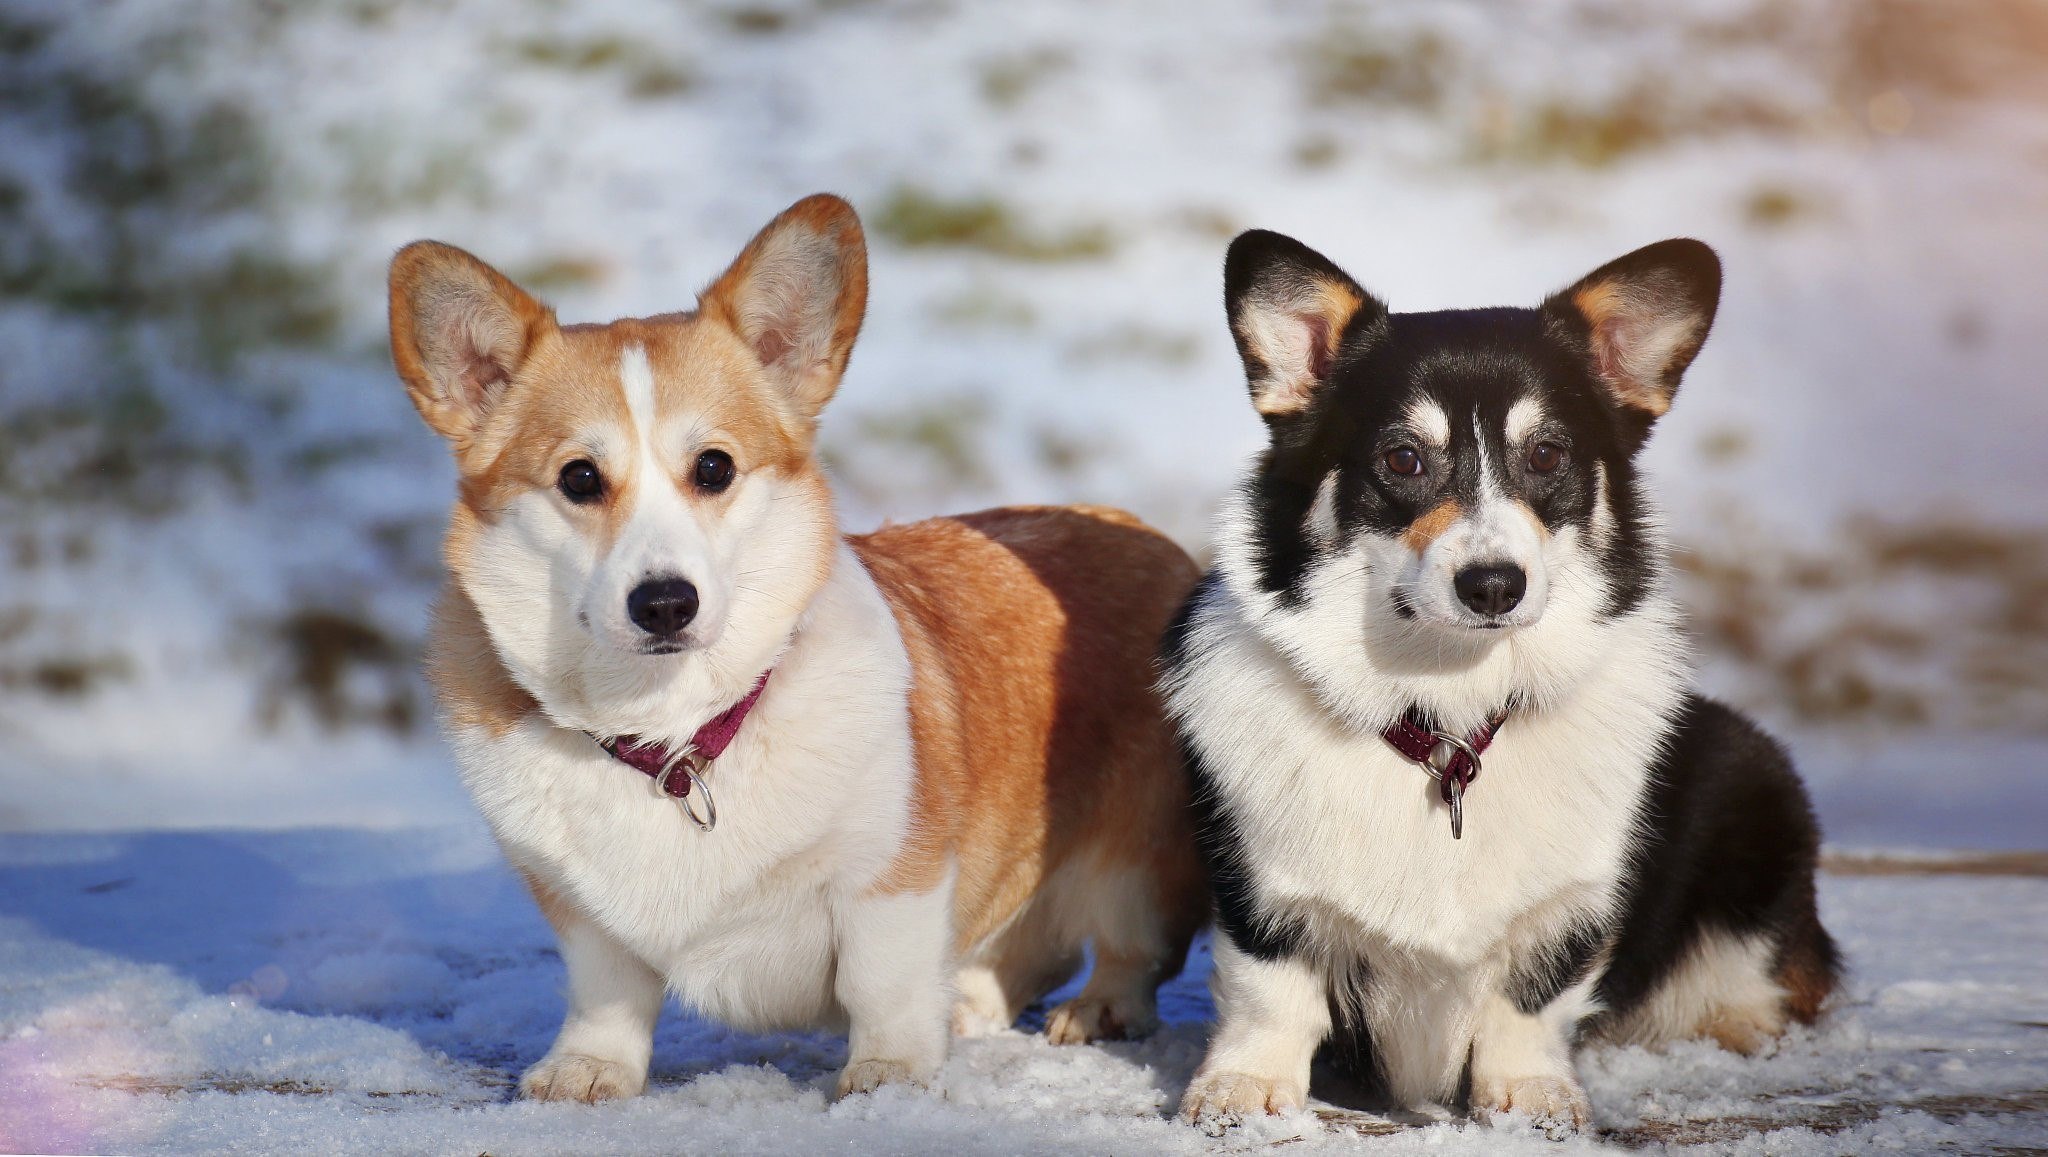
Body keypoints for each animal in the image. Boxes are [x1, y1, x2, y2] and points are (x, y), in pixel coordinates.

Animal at [389, 193, 1204, 1097]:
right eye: (579, 478)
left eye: (713, 467)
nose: (664, 604)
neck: (680, 739)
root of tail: (1147, 534)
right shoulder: (580, 914)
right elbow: (606, 990)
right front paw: (587, 1068)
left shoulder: (893, 876)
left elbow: (882, 980)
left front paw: (889, 1068)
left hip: (1140, 864)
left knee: (1127, 948)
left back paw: (1094, 1006)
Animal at [1171, 232, 1843, 1130]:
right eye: (1403, 458)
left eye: (1548, 454)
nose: (1493, 585)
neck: (1449, 719)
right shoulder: (1256, 889)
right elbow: (1269, 988)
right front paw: (1242, 1087)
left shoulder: (1569, 909)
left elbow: (1531, 998)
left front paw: (1531, 1095)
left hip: (1754, 774)